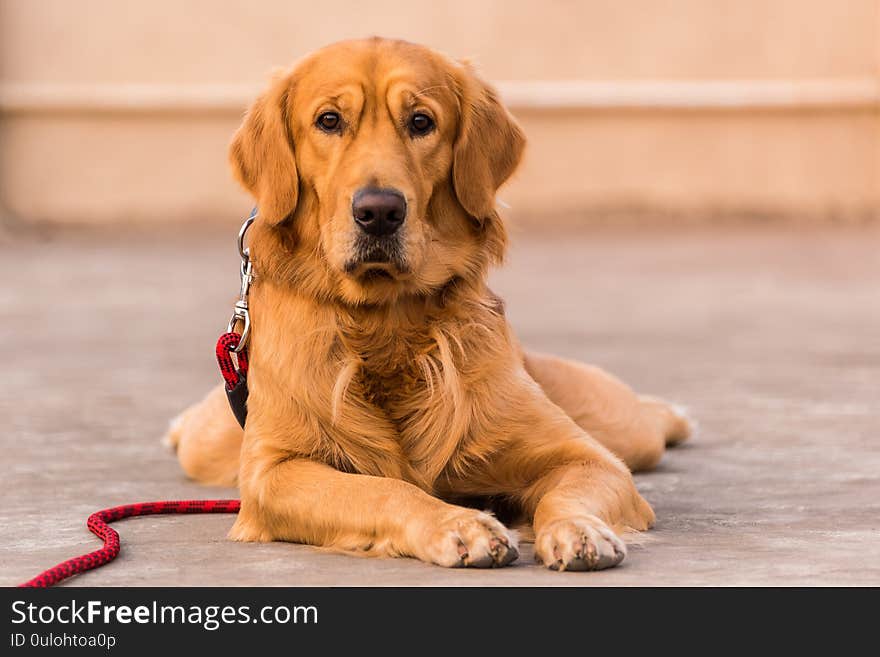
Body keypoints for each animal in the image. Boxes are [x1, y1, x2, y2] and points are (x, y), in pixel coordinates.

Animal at [165, 38, 692, 568]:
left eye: (421, 122)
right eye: (329, 120)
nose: (379, 212)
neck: (386, 321)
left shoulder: (587, 456)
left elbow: (570, 491)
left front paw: (578, 529)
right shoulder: (273, 471)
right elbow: (382, 489)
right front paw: (459, 524)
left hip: (624, 430)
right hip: (213, 443)